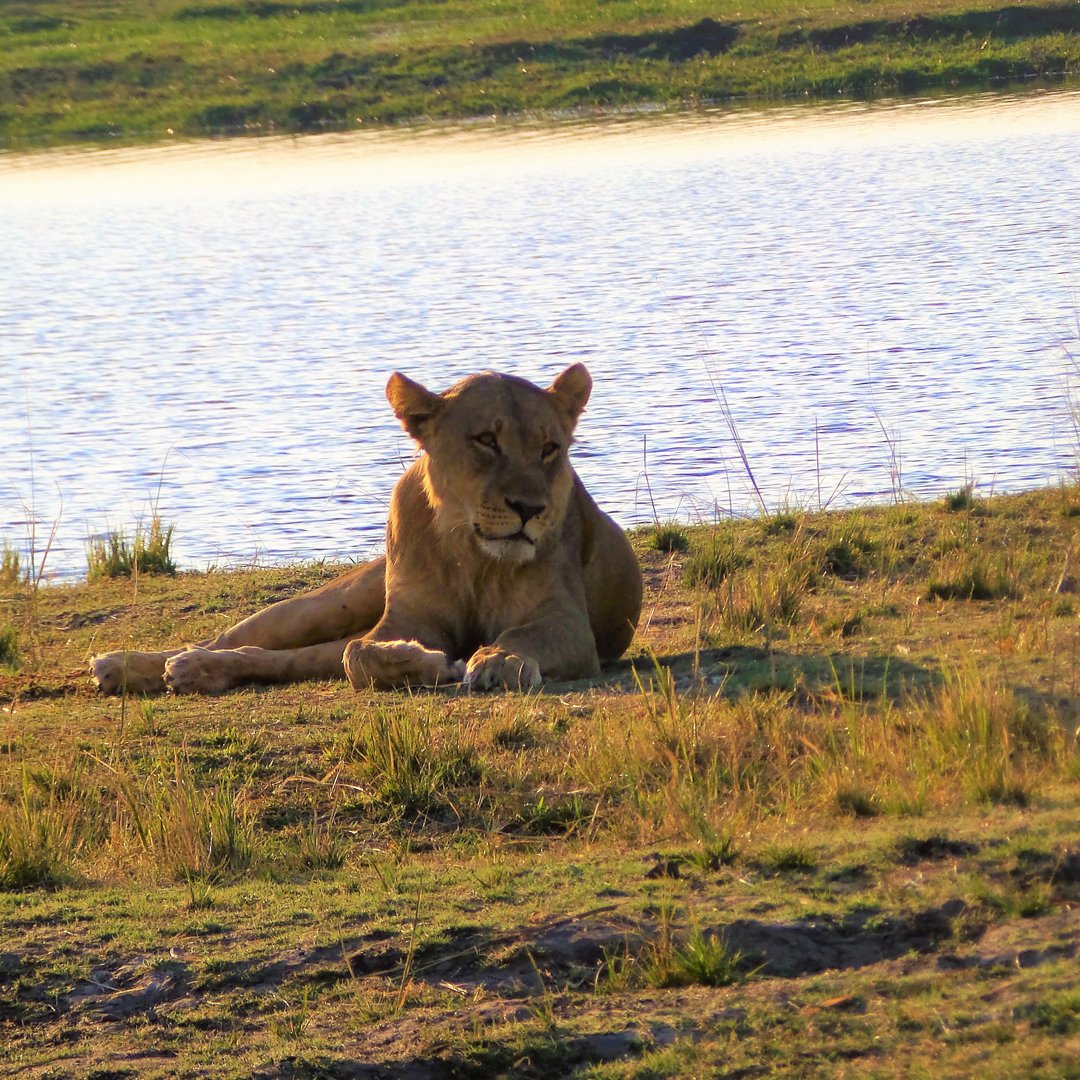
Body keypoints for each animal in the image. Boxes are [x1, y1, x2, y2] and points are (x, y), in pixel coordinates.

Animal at [90, 362, 639, 695]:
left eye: (549, 448)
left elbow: (523, 635)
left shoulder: (569, 623)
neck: (474, 557)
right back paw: (134, 664)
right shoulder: (402, 622)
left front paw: (498, 661)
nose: (530, 508)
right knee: (236, 639)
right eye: (486, 440)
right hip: (330, 601)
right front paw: (425, 663)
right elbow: (359, 654)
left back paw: (182, 670)